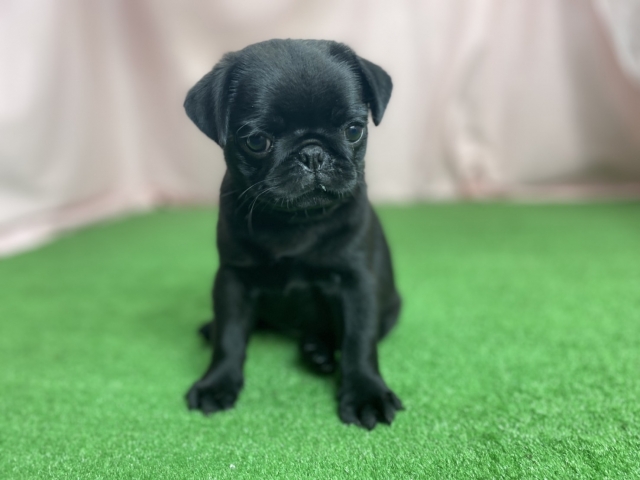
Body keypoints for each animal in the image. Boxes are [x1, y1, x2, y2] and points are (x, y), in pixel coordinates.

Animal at [183, 39, 402, 429]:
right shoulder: (233, 279)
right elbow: (230, 336)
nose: (313, 153)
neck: (296, 222)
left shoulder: (357, 282)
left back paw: (318, 351)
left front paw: (367, 393)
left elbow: (359, 340)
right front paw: (217, 383)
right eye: (257, 141)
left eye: (354, 130)